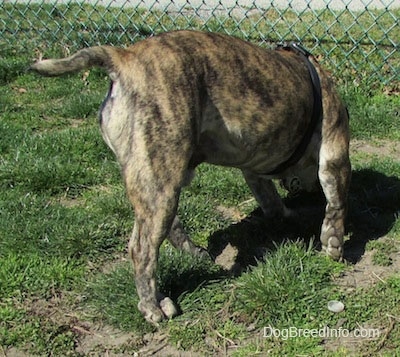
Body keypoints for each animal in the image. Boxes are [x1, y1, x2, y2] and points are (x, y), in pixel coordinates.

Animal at [30, 30, 350, 322]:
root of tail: (124, 57)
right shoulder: (335, 152)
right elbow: (336, 200)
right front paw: (334, 243)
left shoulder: (255, 170)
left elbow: (270, 200)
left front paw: (288, 215)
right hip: (160, 177)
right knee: (142, 249)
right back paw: (153, 305)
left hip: (160, 179)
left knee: (165, 227)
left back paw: (188, 259)